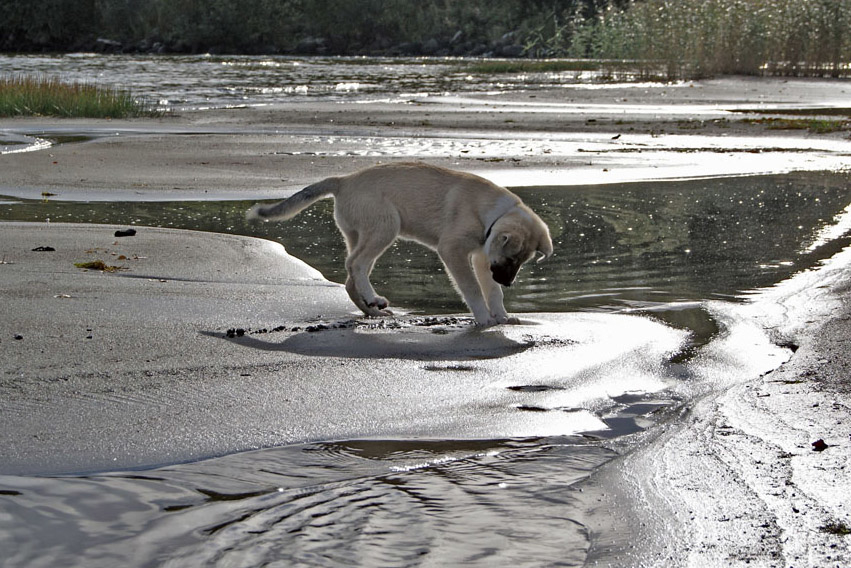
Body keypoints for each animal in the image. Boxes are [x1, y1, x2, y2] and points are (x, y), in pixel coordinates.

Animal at [248, 162, 552, 326]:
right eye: (512, 259)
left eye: (521, 262)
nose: (508, 282)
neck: (489, 213)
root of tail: (343, 180)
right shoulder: (453, 251)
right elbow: (473, 289)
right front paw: (485, 319)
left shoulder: (482, 256)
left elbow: (491, 291)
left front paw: (501, 316)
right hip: (385, 227)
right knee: (355, 264)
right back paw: (372, 299)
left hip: (362, 234)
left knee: (350, 275)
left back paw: (370, 308)